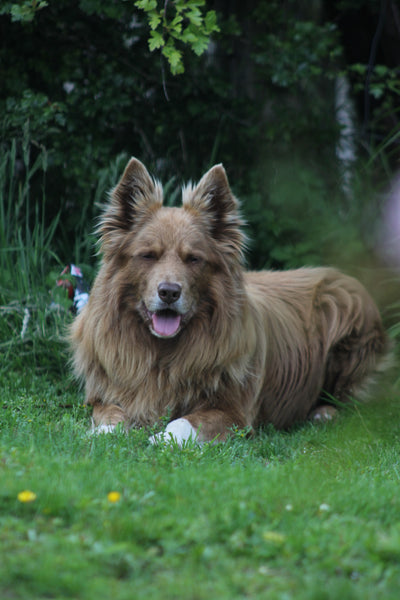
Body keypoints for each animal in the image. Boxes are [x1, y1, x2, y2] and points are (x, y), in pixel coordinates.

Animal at [70, 157, 390, 442]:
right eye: (148, 255)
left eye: (193, 259)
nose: (169, 292)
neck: (163, 354)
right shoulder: (105, 396)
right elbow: (112, 415)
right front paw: (103, 433)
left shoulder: (234, 413)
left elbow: (182, 423)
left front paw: (161, 438)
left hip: (346, 317)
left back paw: (323, 413)